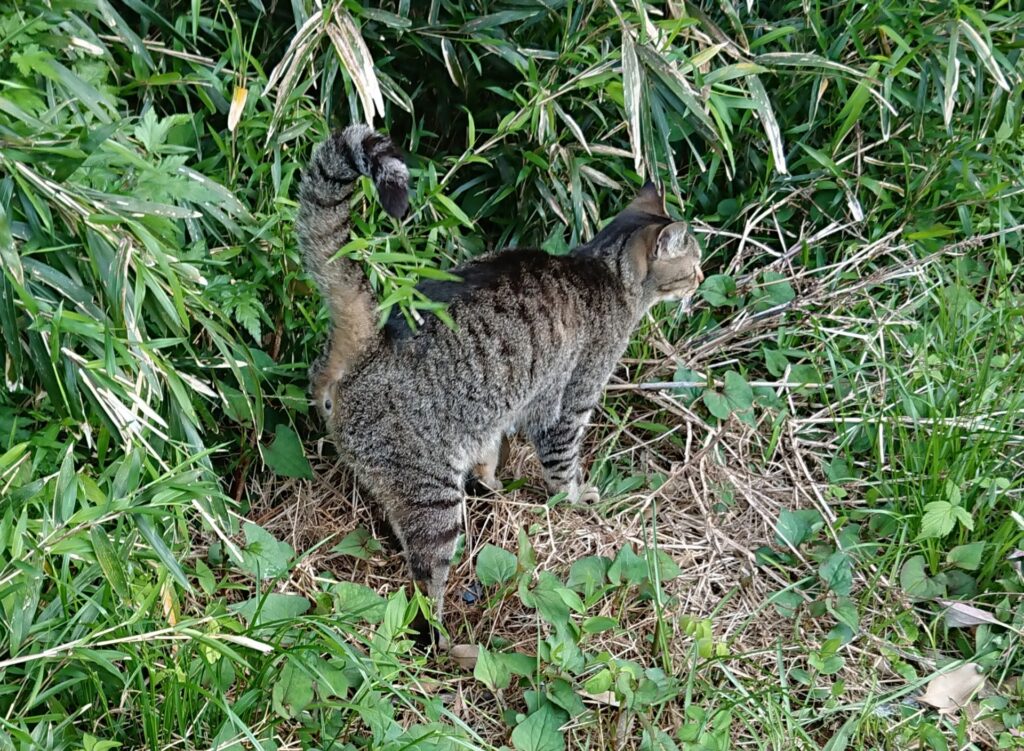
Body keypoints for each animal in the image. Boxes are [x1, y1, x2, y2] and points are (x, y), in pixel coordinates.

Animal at [299, 122, 704, 639]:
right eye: (693, 265)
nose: (702, 278)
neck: (605, 272)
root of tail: (373, 343)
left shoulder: (493, 421)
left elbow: (491, 458)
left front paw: (498, 487)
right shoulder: (568, 405)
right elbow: (562, 468)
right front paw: (575, 499)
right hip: (433, 498)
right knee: (425, 582)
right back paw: (442, 637)